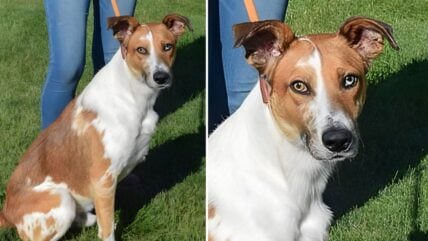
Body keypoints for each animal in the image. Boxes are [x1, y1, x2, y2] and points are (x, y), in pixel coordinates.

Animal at [0, 13, 191, 241]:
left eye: (168, 46)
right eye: (141, 50)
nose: (161, 77)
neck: (133, 94)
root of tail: (6, 212)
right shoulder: (103, 180)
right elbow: (107, 230)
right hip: (62, 200)